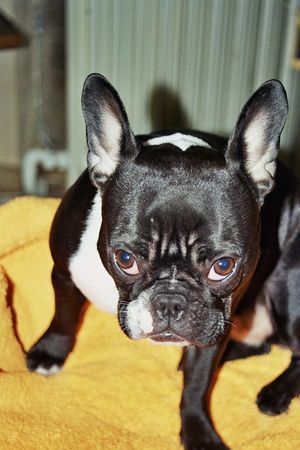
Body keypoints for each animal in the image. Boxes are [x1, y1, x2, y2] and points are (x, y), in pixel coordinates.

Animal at [26, 73, 300, 446]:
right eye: (125, 258)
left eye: (223, 267)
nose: (170, 302)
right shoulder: (64, 273)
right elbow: (64, 316)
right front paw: (51, 352)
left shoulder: (212, 322)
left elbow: (197, 385)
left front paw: (199, 432)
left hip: (288, 291)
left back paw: (275, 392)